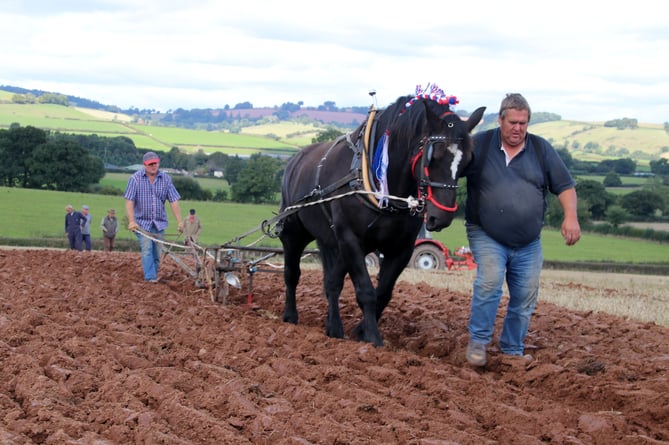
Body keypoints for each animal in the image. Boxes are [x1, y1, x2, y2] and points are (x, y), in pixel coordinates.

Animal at [274, 92, 482, 346]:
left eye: (468, 160)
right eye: (434, 155)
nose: (441, 216)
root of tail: (295, 160)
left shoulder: (400, 248)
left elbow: (383, 292)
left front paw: (360, 330)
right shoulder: (351, 239)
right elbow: (366, 290)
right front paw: (373, 338)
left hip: (333, 242)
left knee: (332, 282)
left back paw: (334, 328)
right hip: (295, 233)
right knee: (292, 274)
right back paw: (290, 316)